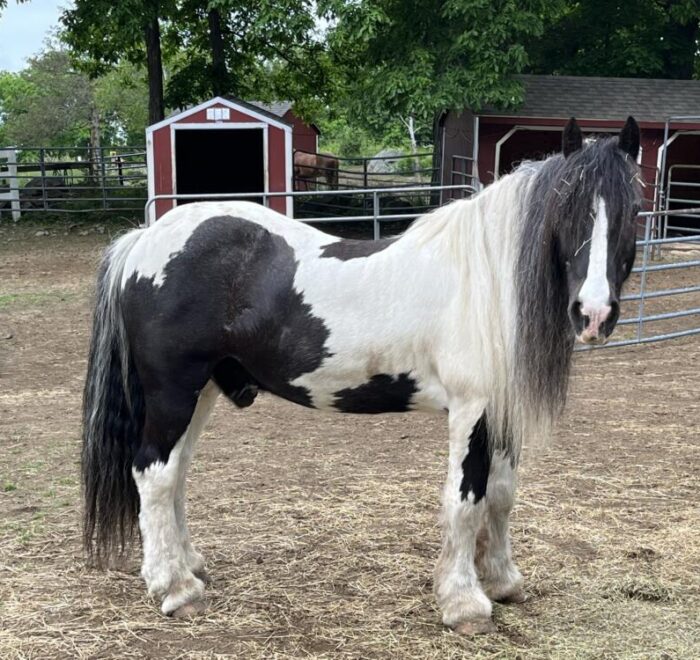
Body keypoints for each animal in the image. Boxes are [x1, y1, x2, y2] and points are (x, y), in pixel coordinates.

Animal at [80, 117, 640, 636]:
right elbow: (466, 501)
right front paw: (464, 604)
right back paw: (174, 589)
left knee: (176, 472)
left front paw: (503, 581)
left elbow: (501, 495)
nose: (593, 314)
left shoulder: (502, 414)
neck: (482, 280)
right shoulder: (472, 410)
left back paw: (190, 567)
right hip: (174, 391)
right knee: (153, 473)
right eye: (566, 210)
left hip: (203, 392)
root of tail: (145, 239)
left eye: (633, 209)